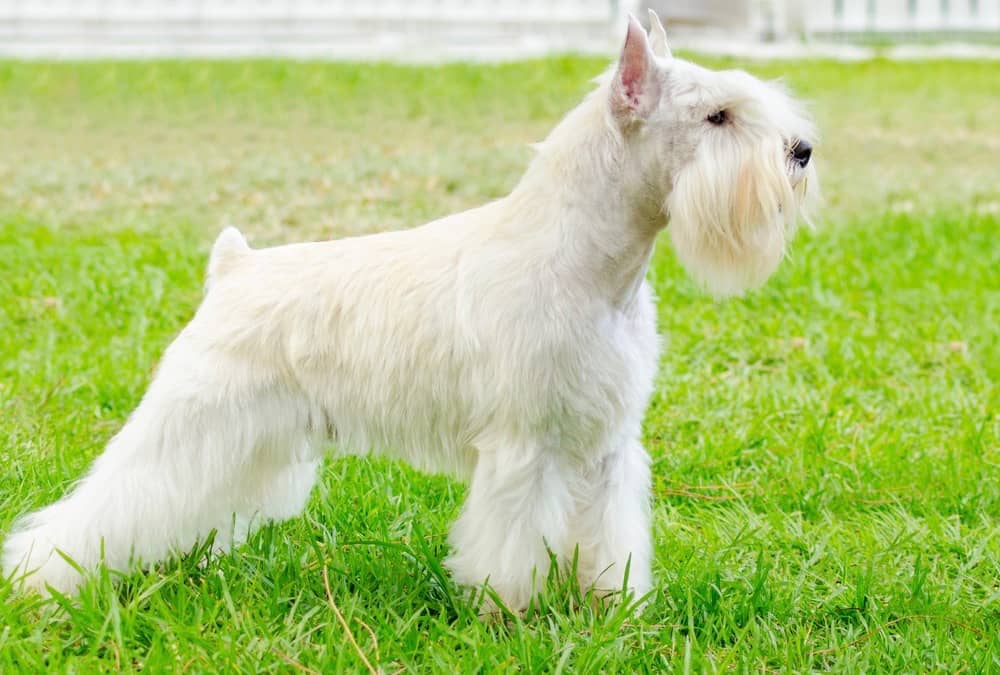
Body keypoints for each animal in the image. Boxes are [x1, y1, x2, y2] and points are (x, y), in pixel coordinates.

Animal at [0, 13, 816, 608]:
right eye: (718, 116)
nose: (801, 150)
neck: (590, 262)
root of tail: (233, 267)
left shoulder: (607, 445)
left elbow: (609, 540)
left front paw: (613, 610)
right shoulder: (525, 449)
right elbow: (514, 545)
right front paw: (510, 616)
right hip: (187, 423)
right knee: (106, 504)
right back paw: (41, 581)